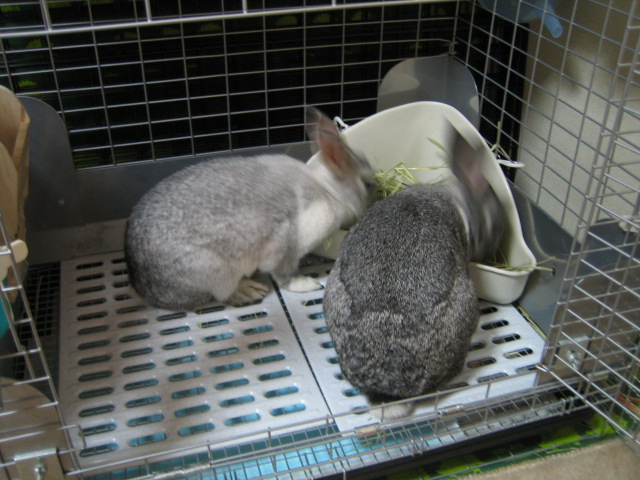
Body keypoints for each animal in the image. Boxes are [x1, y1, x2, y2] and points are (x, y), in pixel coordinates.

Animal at [125, 107, 375, 310]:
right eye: (368, 184)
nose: (373, 203)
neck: (328, 190)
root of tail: (145, 288)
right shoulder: (286, 246)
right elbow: (283, 275)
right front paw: (306, 283)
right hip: (214, 272)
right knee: (220, 294)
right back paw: (247, 291)